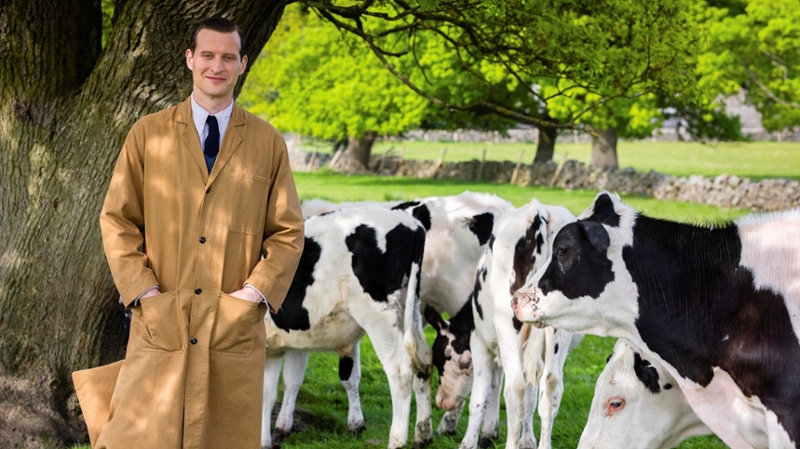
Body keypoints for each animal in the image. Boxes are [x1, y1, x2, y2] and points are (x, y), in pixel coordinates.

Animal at [260, 206, 432, 448]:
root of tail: (412, 224)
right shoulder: (287, 342)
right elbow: (280, 387)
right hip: (410, 310)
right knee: (423, 362)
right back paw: (422, 436)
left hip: (378, 315)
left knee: (400, 371)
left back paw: (396, 440)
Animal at [424, 200, 580, 448]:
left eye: (440, 358)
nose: (442, 401)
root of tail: (539, 213)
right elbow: (530, 397)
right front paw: (527, 441)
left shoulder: (479, 343)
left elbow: (480, 397)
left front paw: (469, 442)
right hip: (558, 333)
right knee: (551, 387)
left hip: (509, 326)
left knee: (515, 388)